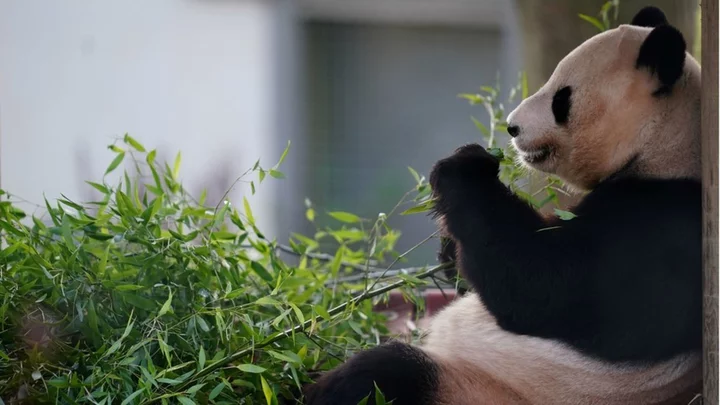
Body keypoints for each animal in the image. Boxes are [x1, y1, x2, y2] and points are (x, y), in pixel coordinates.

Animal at [300, 7, 700, 404]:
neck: (664, 146)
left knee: (384, 375)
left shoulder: (658, 225)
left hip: (475, 390)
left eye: (561, 99)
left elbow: (541, 284)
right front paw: (447, 246)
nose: (511, 127)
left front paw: (466, 167)